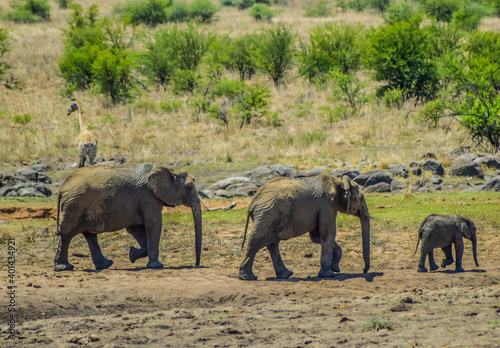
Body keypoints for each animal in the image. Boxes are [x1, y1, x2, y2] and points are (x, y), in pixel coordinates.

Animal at [53, 163, 202, 272]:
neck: (168, 168)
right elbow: (154, 224)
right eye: (189, 187)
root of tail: (62, 187)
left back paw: (105, 265)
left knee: (89, 235)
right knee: (67, 235)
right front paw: (157, 266)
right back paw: (64, 268)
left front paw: (132, 254)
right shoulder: (148, 197)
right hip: (75, 205)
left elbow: (136, 229)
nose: (195, 265)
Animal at [238, 174, 372, 280]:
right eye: (361, 198)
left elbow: (317, 237)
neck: (337, 181)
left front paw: (335, 268)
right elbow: (327, 233)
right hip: (267, 215)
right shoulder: (327, 204)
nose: (364, 270)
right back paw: (248, 277)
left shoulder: (321, 208)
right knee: (256, 241)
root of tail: (252, 203)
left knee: (272, 243)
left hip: (269, 216)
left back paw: (285, 275)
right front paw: (329, 274)